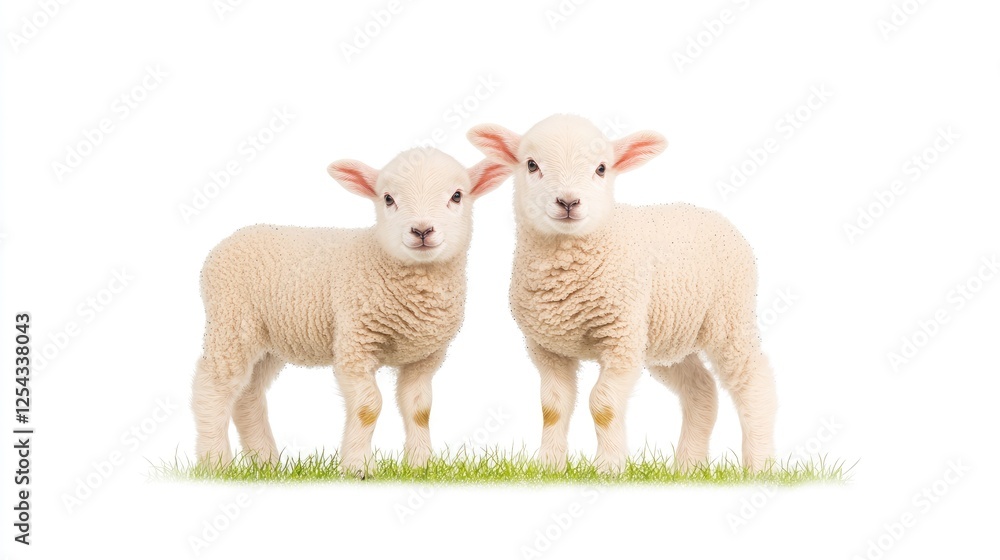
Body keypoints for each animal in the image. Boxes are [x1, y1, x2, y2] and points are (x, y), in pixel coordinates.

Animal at [191, 147, 509, 474]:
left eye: (457, 196)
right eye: (388, 199)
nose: (422, 230)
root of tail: (228, 242)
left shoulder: (425, 356)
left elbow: (419, 409)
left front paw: (420, 465)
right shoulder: (355, 342)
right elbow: (368, 407)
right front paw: (359, 466)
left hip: (269, 341)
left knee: (248, 395)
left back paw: (266, 462)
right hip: (232, 322)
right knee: (212, 387)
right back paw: (215, 462)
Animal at [467, 114, 777, 473]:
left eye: (601, 168)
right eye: (531, 164)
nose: (568, 202)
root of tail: (713, 215)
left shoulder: (621, 339)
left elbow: (603, 405)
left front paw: (609, 467)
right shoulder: (548, 347)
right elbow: (552, 408)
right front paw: (549, 466)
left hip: (730, 318)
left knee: (754, 382)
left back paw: (759, 465)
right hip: (667, 336)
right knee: (702, 390)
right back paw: (688, 467)